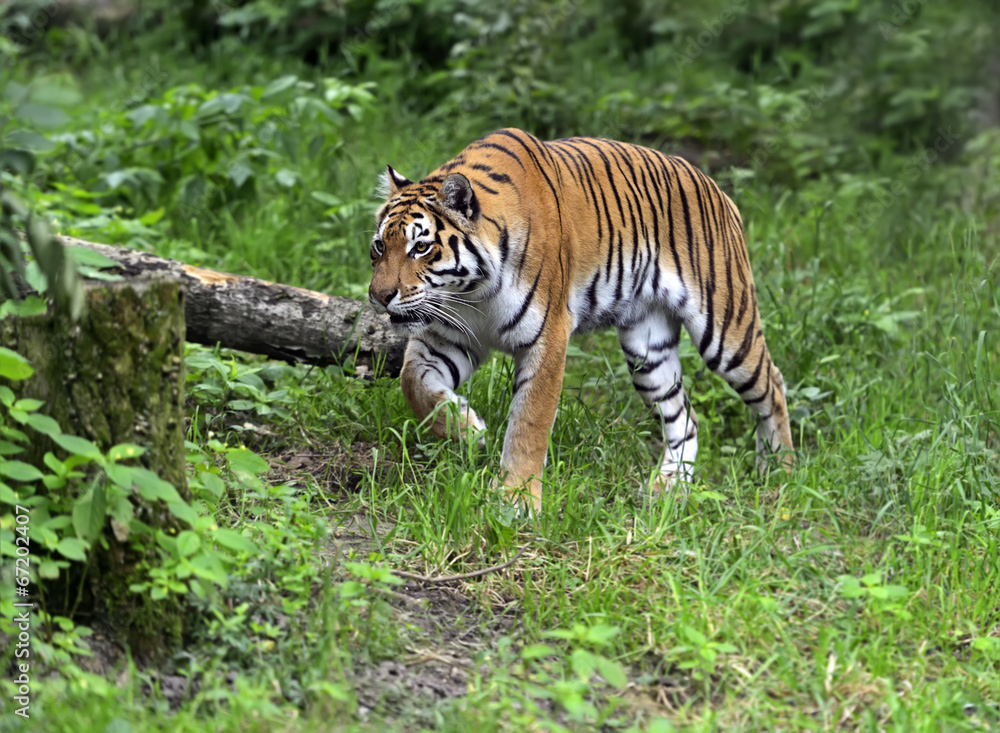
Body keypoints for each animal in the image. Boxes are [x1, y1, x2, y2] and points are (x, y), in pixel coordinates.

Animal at [368, 128, 794, 514]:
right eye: (379, 246)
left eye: (421, 246)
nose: (379, 296)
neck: (471, 292)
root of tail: (716, 187)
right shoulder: (450, 336)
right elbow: (414, 384)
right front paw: (468, 431)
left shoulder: (548, 336)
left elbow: (530, 421)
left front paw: (516, 500)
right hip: (647, 351)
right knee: (685, 417)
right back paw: (670, 485)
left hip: (725, 329)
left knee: (771, 383)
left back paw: (779, 471)